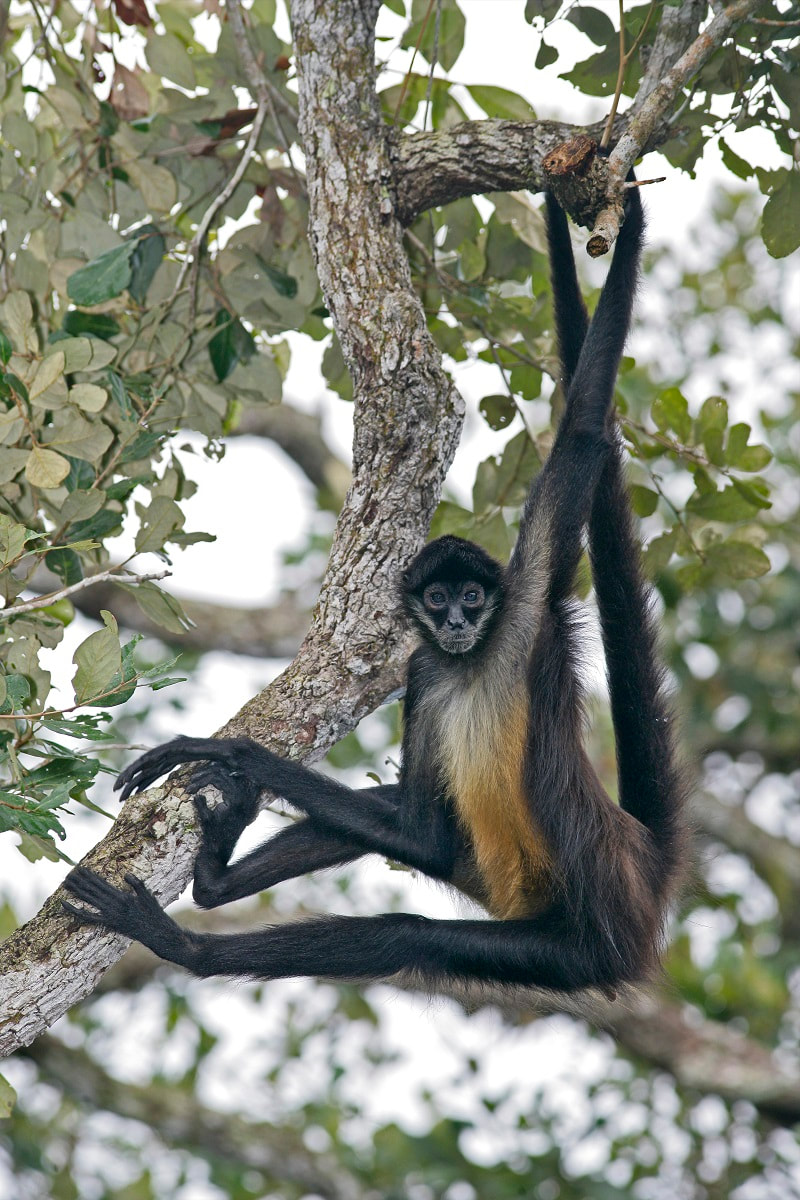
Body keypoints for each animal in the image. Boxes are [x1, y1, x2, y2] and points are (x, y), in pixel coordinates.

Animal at [64, 184, 690, 993]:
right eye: (437, 600)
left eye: (472, 598)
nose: (454, 622)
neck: (469, 662)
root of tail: (636, 862)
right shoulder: (424, 672)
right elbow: (418, 832)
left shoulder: (525, 607)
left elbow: (582, 430)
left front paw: (232, 750)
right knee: (402, 828)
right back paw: (214, 880)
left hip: (580, 949)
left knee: (404, 934)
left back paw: (186, 945)